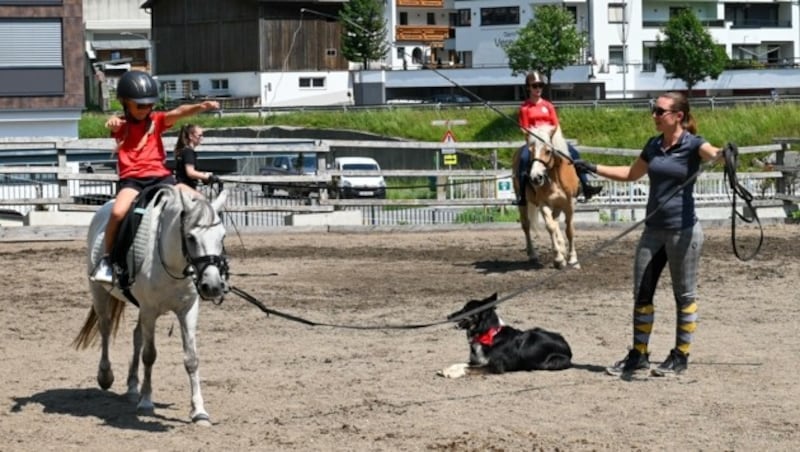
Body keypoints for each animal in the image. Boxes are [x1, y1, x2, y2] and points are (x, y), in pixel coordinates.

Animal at [72, 185, 228, 426]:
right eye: (190, 237)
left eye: (222, 236)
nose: (212, 286)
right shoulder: (150, 310)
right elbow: (150, 355)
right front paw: (146, 402)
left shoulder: (187, 310)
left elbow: (191, 358)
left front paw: (199, 411)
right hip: (100, 294)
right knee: (105, 329)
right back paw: (106, 376)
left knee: (136, 336)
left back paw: (132, 387)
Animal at [512, 124, 580, 268]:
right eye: (531, 150)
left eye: (548, 151)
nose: (535, 177)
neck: (555, 178)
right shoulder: (544, 204)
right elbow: (550, 227)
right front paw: (558, 259)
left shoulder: (570, 204)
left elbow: (569, 230)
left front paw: (572, 258)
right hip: (523, 203)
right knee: (526, 225)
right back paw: (533, 254)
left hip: (558, 205)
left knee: (555, 221)